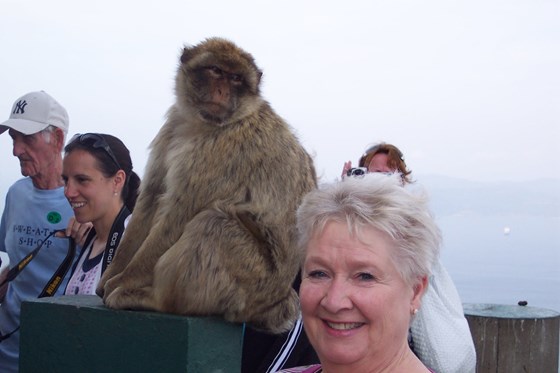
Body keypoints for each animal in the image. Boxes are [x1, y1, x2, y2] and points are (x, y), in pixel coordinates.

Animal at [98, 37, 318, 332]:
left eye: (236, 78)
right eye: (216, 70)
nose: (222, 90)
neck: (201, 125)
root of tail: (274, 302)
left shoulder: (222, 152)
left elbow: (179, 216)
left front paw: (124, 280)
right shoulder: (171, 130)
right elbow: (150, 199)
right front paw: (109, 277)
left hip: (252, 282)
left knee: (214, 224)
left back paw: (154, 300)